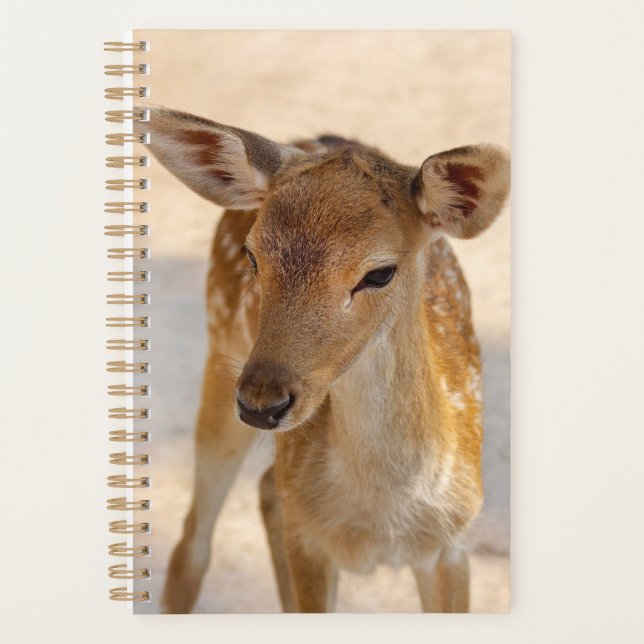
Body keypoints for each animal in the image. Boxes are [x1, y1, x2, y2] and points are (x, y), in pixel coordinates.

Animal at [137, 106, 510, 613]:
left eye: (380, 273)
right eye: (252, 255)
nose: (261, 403)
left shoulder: (452, 543)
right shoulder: (310, 544)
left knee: (266, 489)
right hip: (220, 355)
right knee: (192, 543)